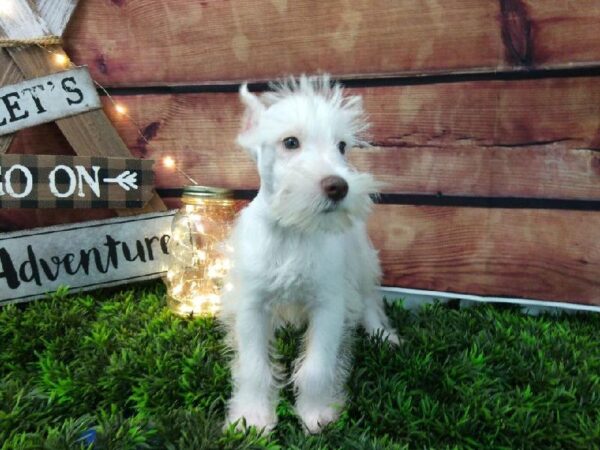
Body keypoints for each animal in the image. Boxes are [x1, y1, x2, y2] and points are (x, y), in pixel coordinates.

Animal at [220, 75, 398, 434]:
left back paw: (382, 334)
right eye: (290, 142)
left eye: (341, 146)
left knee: (370, 300)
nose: (339, 186)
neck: (293, 230)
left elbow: (317, 366)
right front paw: (252, 417)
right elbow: (254, 368)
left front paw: (317, 414)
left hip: (362, 263)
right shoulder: (251, 307)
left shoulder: (328, 304)